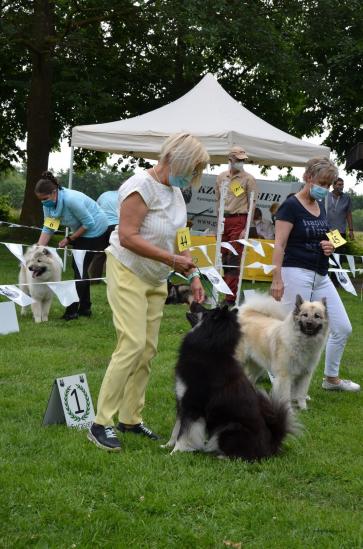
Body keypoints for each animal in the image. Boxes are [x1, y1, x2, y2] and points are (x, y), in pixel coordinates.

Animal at [164, 304, 296, 458]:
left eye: (207, 311)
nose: (194, 302)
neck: (210, 350)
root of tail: (271, 445)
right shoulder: (181, 403)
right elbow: (176, 428)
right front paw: (167, 445)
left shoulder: (192, 405)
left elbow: (184, 433)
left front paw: (175, 452)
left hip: (228, 428)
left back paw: (221, 455)